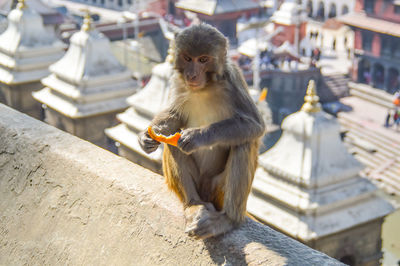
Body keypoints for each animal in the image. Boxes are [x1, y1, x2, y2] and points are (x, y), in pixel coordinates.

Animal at [138, 23, 266, 239]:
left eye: (203, 59)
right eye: (188, 58)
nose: (192, 75)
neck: (205, 87)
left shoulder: (233, 81)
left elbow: (254, 125)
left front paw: (197, 136)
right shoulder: (178, 83)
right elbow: (175, 117)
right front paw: (147, 137)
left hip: (218, 190)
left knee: (244, 143)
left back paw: (227, 220)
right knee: (173, 144)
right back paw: (193, 205)